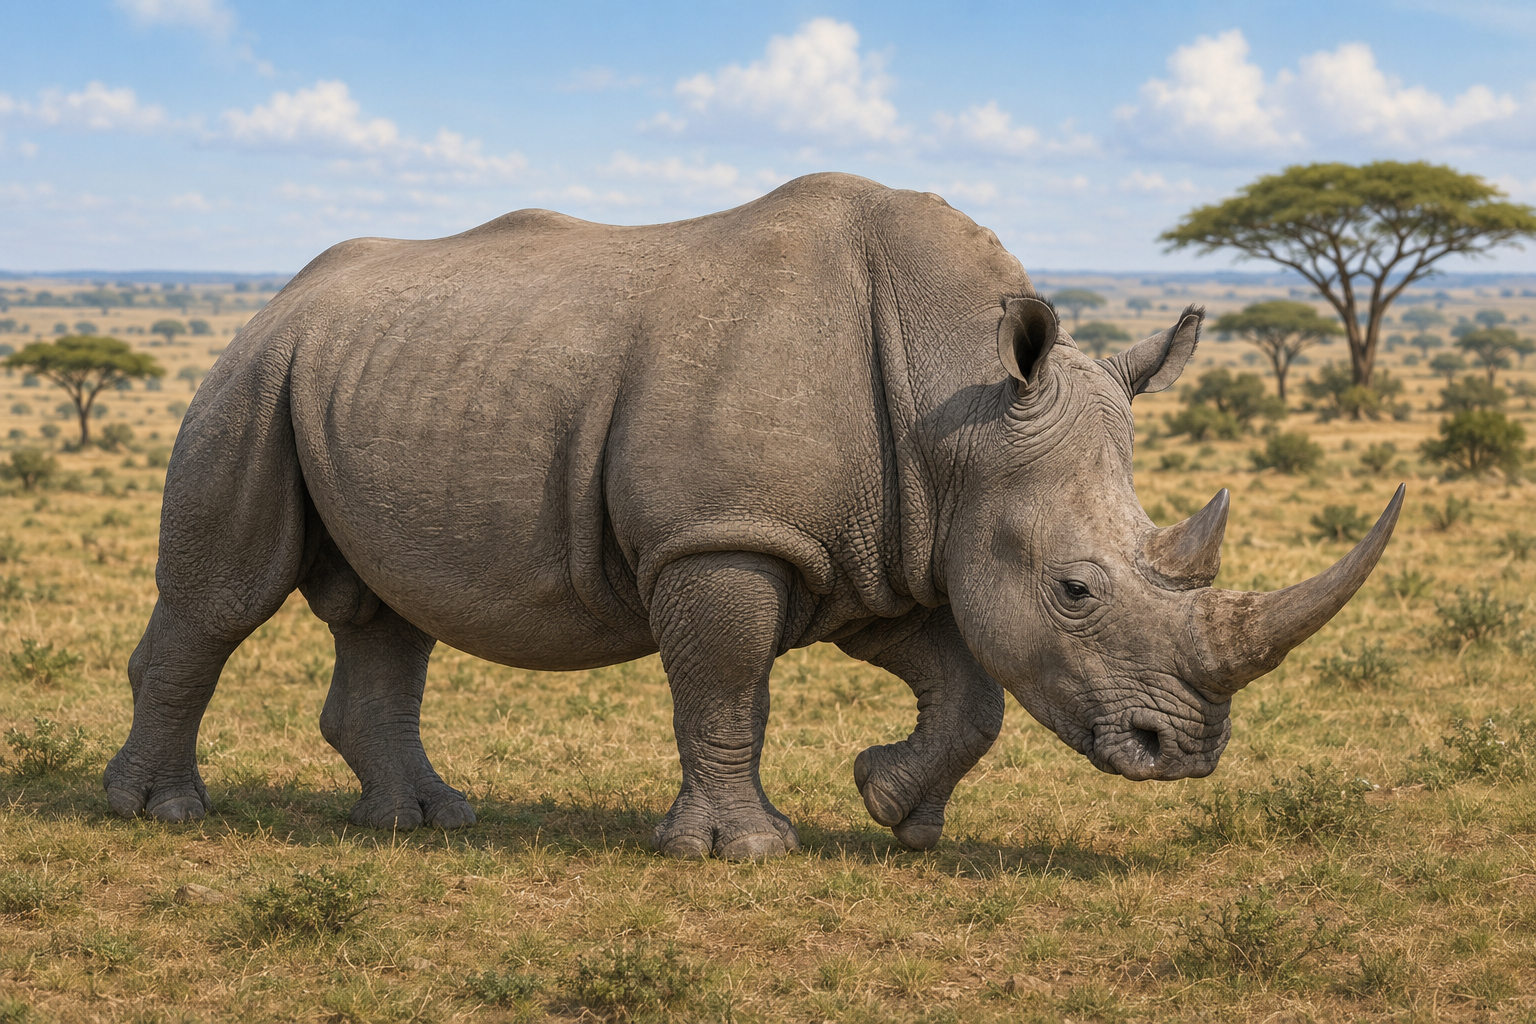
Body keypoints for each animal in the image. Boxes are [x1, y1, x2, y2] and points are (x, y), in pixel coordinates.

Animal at [105, 172, 1402, 859]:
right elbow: (728, 687)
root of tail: (277, 295)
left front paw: (893, 807)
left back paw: (424, 822)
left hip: (359, 373)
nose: (1185, 754)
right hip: (253, 377)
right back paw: (161, 812)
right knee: (222, 597)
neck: (956, 399)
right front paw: (743, 848)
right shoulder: (727, 534)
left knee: (387, 612)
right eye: (1078, 590)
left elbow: (969, 689)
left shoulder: (884, 543)